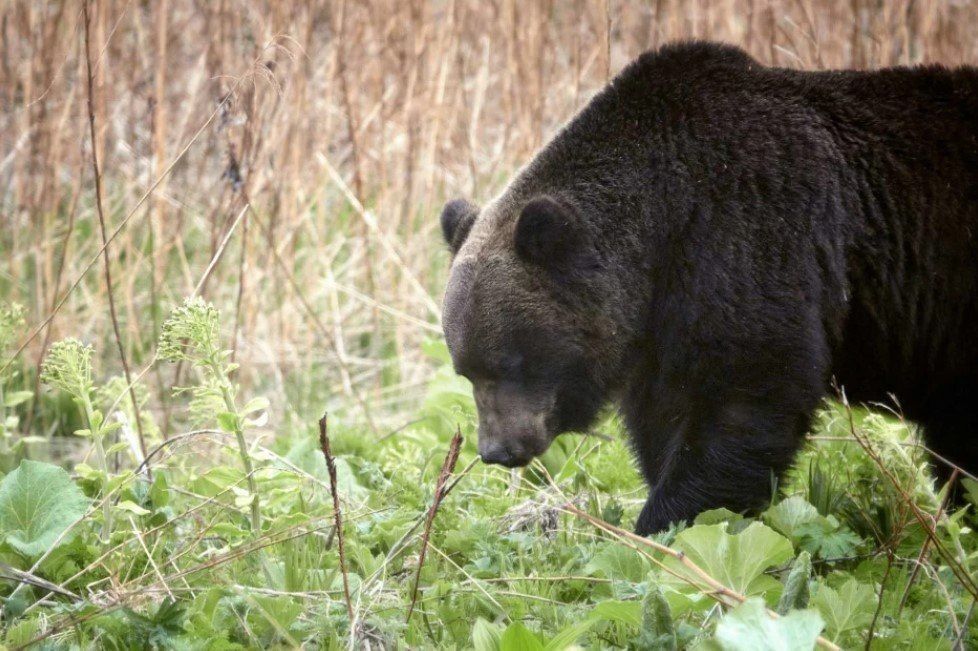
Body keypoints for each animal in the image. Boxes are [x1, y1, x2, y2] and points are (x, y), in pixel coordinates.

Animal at [438, 41, 978, 535]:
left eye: (511, 362)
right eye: (466, 371)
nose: (497, 450)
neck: (666, 222)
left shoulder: (750, 233)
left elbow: (744, 392)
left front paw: (665, 524)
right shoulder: (660, 323)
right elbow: (664, 417)